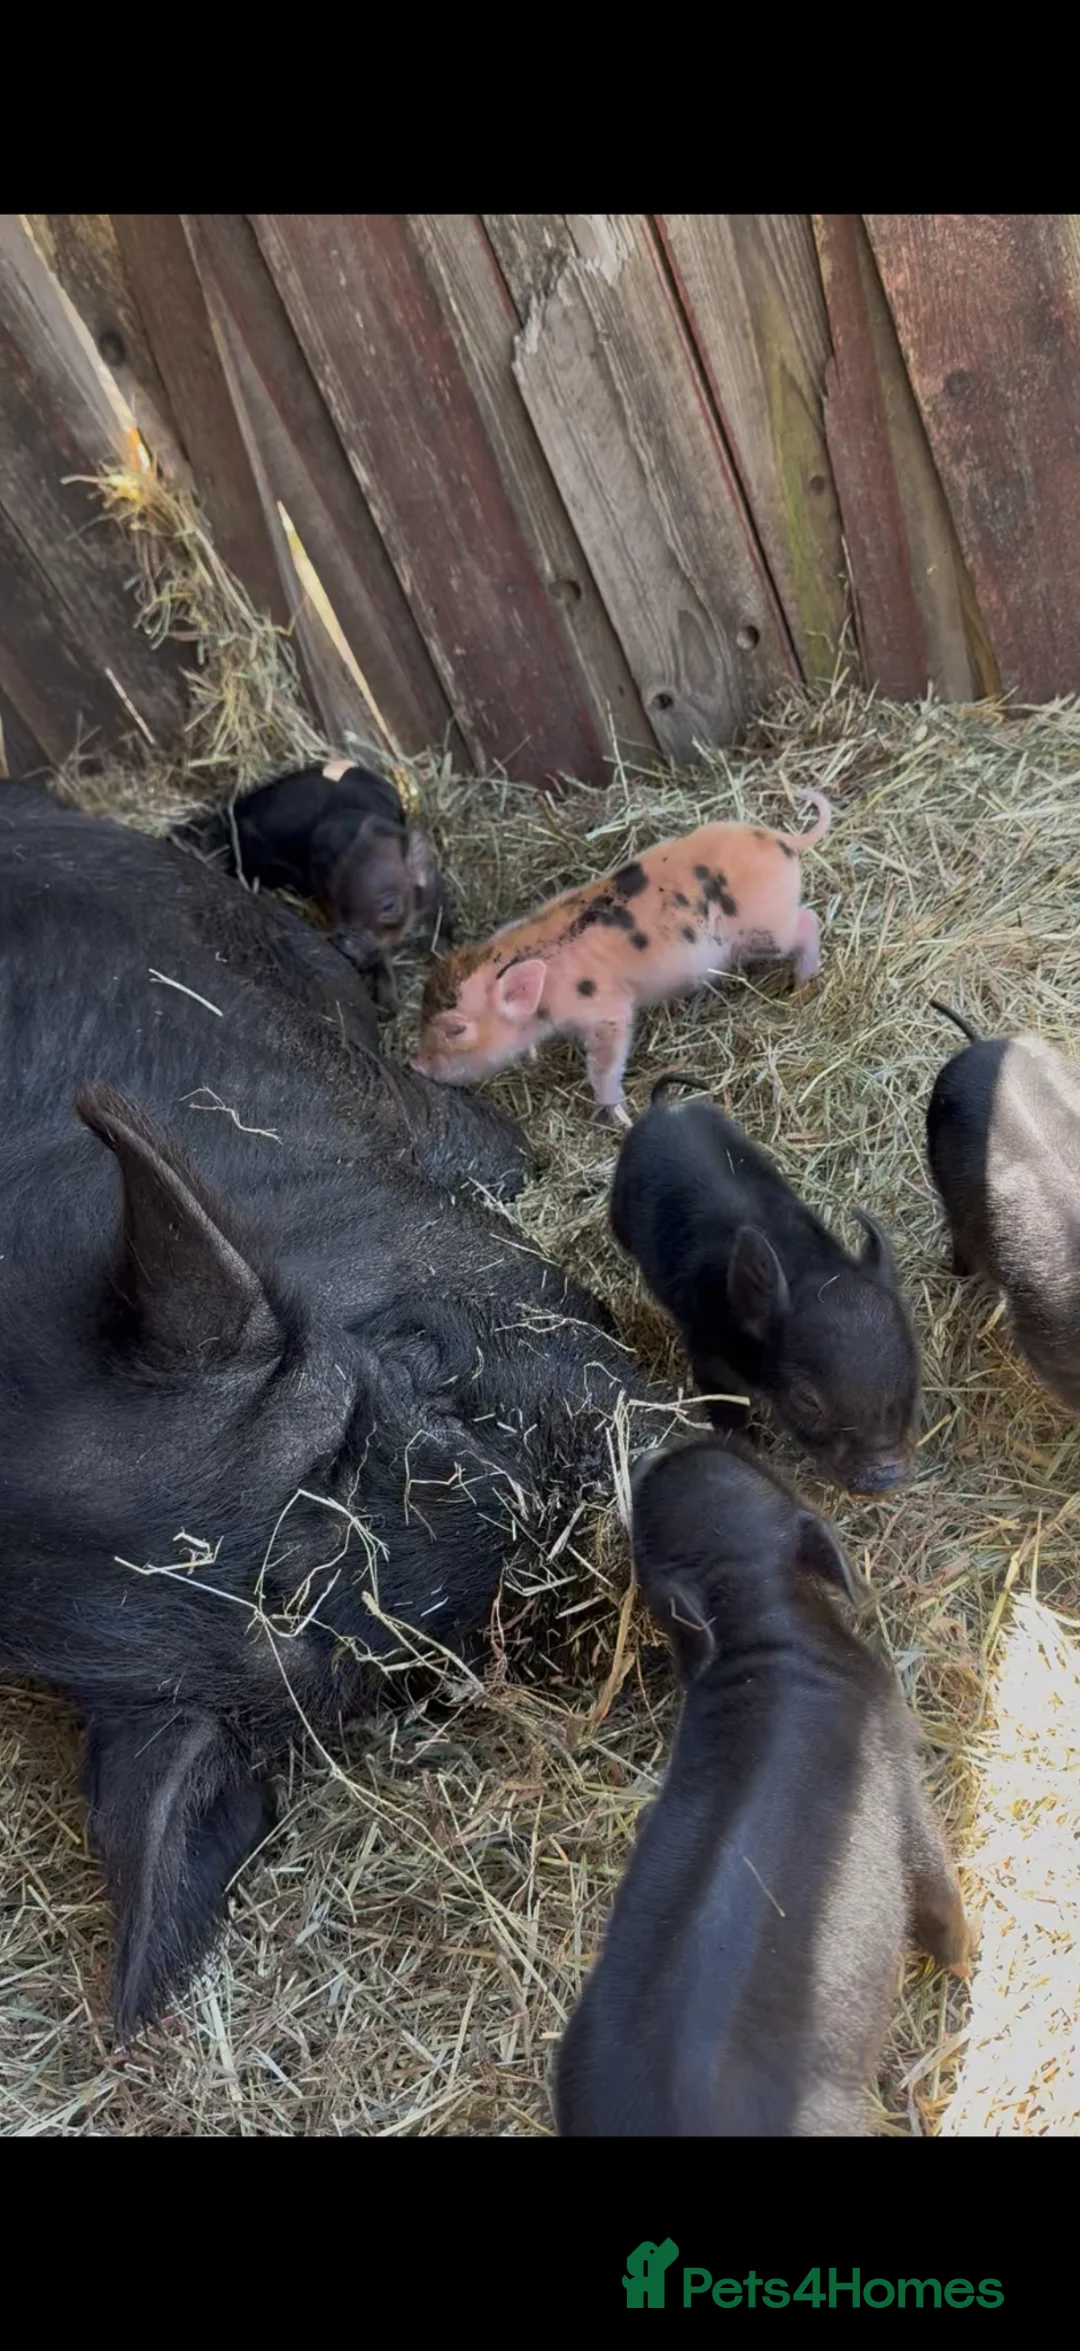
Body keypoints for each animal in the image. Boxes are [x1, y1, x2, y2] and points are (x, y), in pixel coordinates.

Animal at [230, 755, 448, 1017]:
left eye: (388, 906)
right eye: (335, 898)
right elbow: (382, 960)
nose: (345, 945)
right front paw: (390, 1008)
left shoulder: (433, 894)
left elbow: (440, 923)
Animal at [411, 793, 832, 1117]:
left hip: (765, 929)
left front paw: (618, 1116)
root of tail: (781, 840)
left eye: (457, 1030)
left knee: (808, 921)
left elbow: (604, 1064)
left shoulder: (606, 1009)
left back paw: (800, 983)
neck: (549, 984)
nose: (414, 1062)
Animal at [609, 1076, 921, 1493]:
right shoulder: (708, 1356)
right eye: (807, 1399)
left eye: (913, 1373)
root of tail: (662, 1108)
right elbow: (726, 1409)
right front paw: (748, 1445)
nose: (886, 1476)